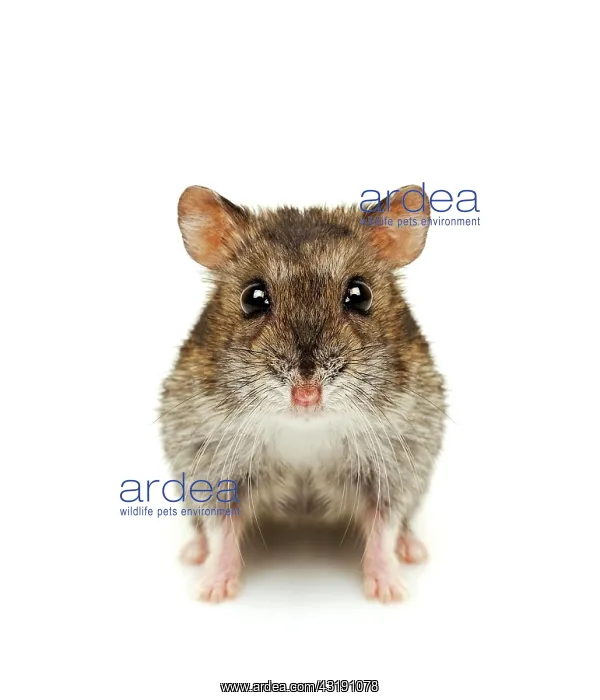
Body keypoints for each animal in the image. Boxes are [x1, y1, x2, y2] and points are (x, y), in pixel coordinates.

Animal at [160, 184, 446, 603]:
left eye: (360, 295)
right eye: (252, 297)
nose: (307, 395)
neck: (305, 432)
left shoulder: (397, 465)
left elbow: (384, 524)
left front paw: (389, 591)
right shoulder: (210, 463)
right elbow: (221, 527)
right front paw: (213, 591)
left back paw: (413, 549)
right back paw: (193, 552)